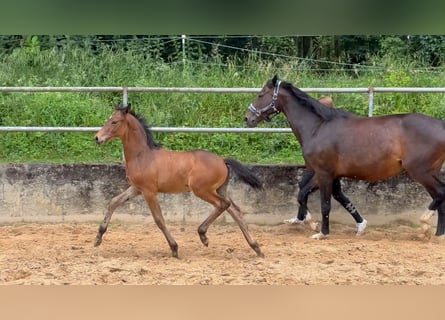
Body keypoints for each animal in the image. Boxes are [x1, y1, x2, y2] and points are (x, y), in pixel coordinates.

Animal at [94, 104, 264, 258]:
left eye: (114, 122)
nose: (97, 138)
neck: (142, 156)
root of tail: (223, 161)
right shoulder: (136, 188)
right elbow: (113, 202)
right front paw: (98, 238)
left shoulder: (149, 192)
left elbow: (159, 219)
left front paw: (174, 248)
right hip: (220, 189)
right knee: (235, 210)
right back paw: (256, 247)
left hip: (202, 190)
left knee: (223, 204)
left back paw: (203, 234)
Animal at [245, 75, 444, 240]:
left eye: (261, 95)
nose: (247, 118)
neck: (317, 127)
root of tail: (441, 125)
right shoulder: (325, 174)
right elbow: (304, 193)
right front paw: (310, 222)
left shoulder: (324, 173)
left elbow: (325, 203)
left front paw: (321, 232)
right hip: (430, 171)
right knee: (440, 195)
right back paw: (437, 233)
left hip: (420, 171)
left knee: (441, 192)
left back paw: (425, 224)